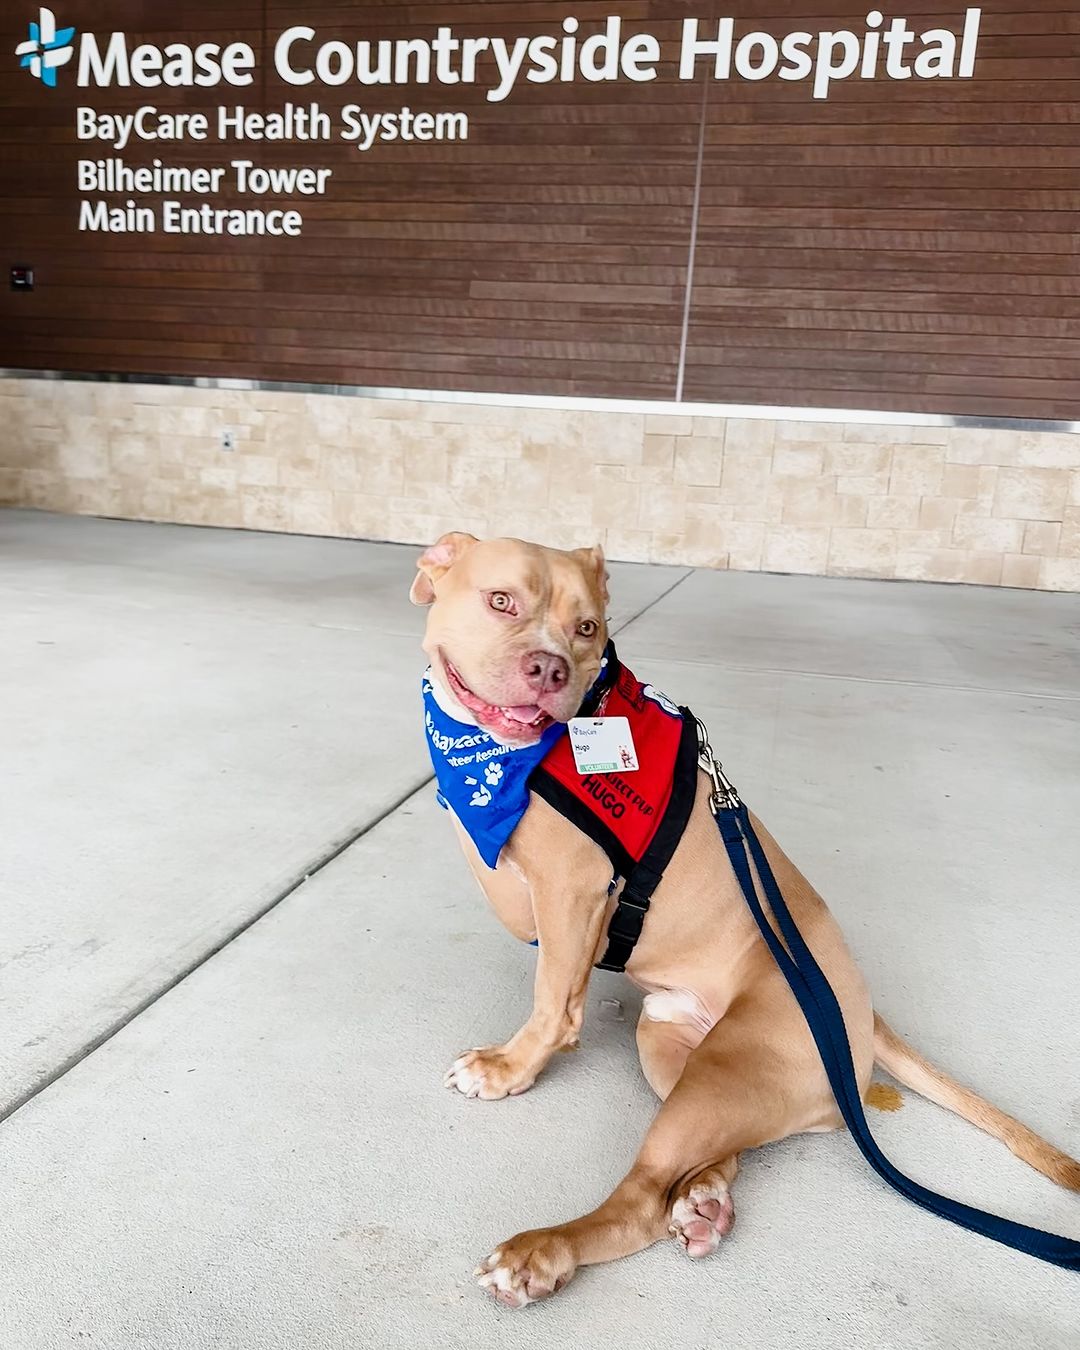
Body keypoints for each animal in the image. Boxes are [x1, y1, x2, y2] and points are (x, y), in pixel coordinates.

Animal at [410, 529, 1074, 1306]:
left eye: (588, 629)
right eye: (501, 601)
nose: (549, 668)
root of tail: (863, 1013)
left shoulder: (568, 889)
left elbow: (552, 999)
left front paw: (509, 1068)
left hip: (725, 1072)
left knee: (641, 1197)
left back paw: (542, 1254)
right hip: (675, 1055)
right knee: (715, 1160)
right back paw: (704, 1204)